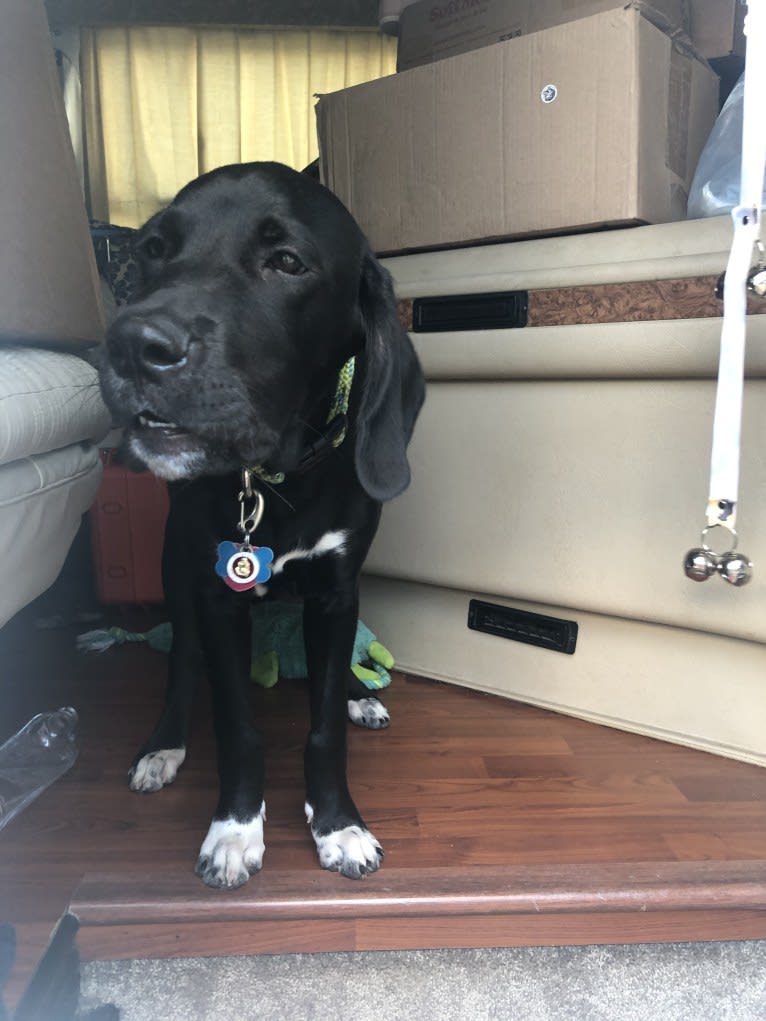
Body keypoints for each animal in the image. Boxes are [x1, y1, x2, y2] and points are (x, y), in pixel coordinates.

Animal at [99, 163, 426, 890]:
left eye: (287, 263)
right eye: (153, 250)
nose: (130, 345)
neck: (276, 481)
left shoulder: (337, 591)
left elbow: (325, 724)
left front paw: (338, 824)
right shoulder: (219, 599)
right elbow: (236, 726)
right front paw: (234, 830)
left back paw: (361, 692)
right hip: (176, 573)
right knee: (181, 664)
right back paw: (164, 744)